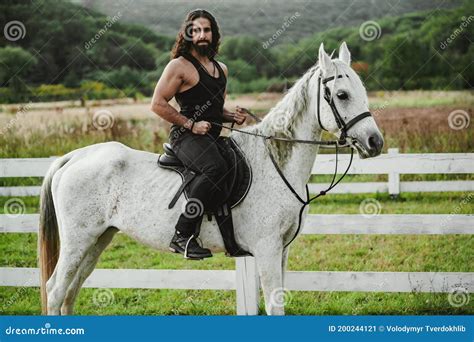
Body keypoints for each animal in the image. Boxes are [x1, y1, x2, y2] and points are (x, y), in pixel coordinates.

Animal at [39, 42, 384, 316]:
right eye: (341, 95)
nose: (375, 142)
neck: (274, 162)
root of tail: (73, 157)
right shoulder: (267, 249)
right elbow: (275, 306)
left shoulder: (282, 250)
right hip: (79, 240)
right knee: (56, 291)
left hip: (98, 239)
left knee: (70, 292)